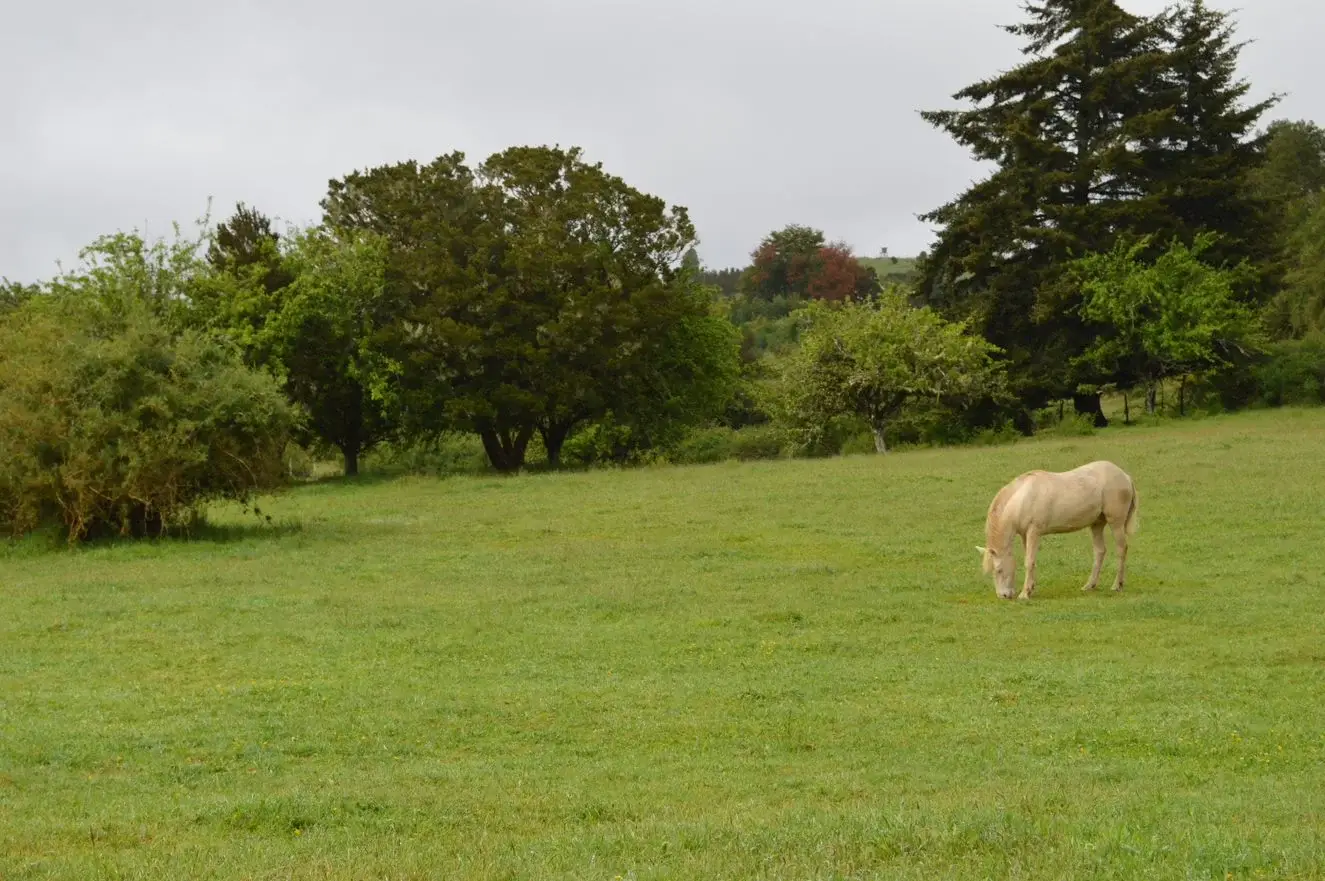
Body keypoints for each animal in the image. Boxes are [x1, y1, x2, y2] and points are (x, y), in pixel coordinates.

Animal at [975, 461, 1139, 598]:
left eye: (999, 570)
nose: (1003, 595)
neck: (1021, 499)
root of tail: (1125, 476)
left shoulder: (1034, 532)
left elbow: (1029, 561)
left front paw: (1025, 593)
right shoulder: (1025, 535)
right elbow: (1031, 561)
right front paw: (1031, 588)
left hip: (1116, 523)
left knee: (1121, 549)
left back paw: (1117, 585)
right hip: (1096, 524)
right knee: (1100, 551)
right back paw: (1089, 585)